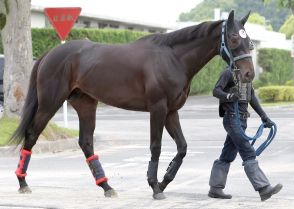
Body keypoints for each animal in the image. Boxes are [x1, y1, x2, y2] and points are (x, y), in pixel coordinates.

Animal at [12, 10, 255, 200]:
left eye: (249, 40)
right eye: (234, 38)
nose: (248, 74)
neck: (172, 58)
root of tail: (50, 54)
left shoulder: (171, 112)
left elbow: (182, 147)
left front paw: (164, 181)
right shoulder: (158, 109)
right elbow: (156, 146)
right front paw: (155, 186)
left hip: (86, 104)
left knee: (86, 142)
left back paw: (106, 186)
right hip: (50, 103)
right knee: (32, 134)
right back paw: (23, 183)